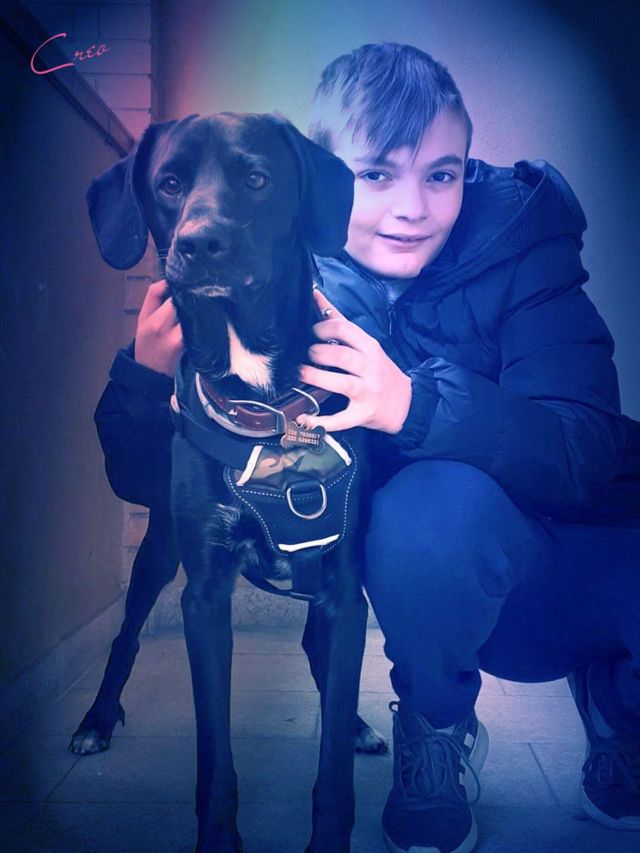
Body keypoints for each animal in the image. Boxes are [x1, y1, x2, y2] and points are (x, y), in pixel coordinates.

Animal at [82, 112, 384, 852]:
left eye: (257, 178)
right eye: (168, 184)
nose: (200, 243)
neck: (267, 404)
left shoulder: (345, 587)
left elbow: (333, 768)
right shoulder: (205, 595)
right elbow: (214, 757)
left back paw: (359, 724)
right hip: (158, 550)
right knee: (125, 634)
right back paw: (96, 720)